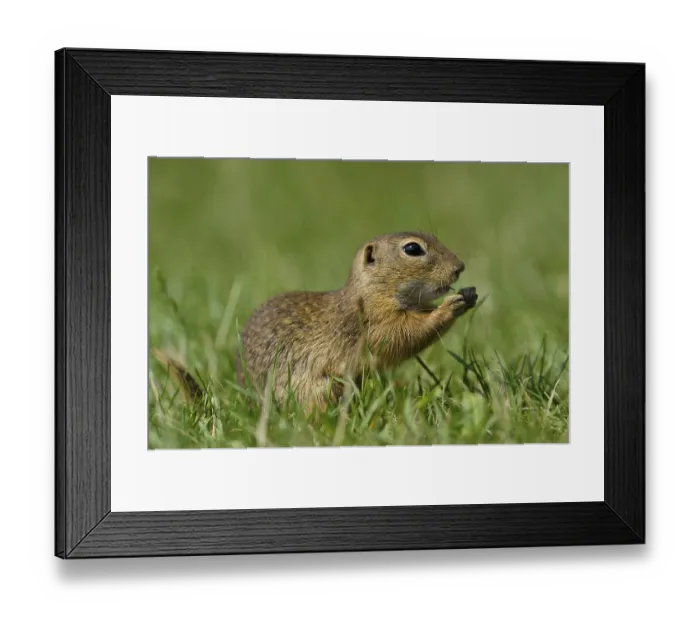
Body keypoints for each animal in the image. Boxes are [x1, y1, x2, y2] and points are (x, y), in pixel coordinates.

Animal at [153, 232, 478, 413]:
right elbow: (406, 335)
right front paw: (450, 306)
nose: (460, 267)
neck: (369, 293)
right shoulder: (374, 324)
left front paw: (468, 296)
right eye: (412, 249)